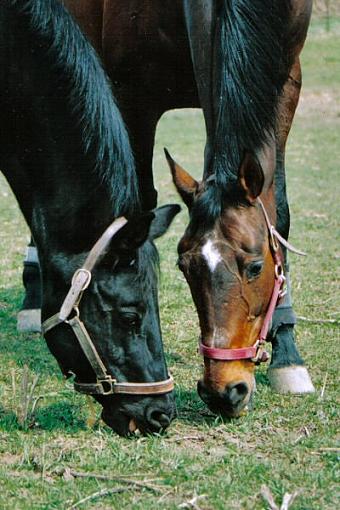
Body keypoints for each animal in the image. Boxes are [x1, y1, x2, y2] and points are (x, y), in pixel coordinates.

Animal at [20, 0, 314, 418]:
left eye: (257, 267)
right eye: (184, 267)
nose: (223, 391)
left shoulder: (286, 79)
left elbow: (280, 213)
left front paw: (287, 354)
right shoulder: (132, 93)